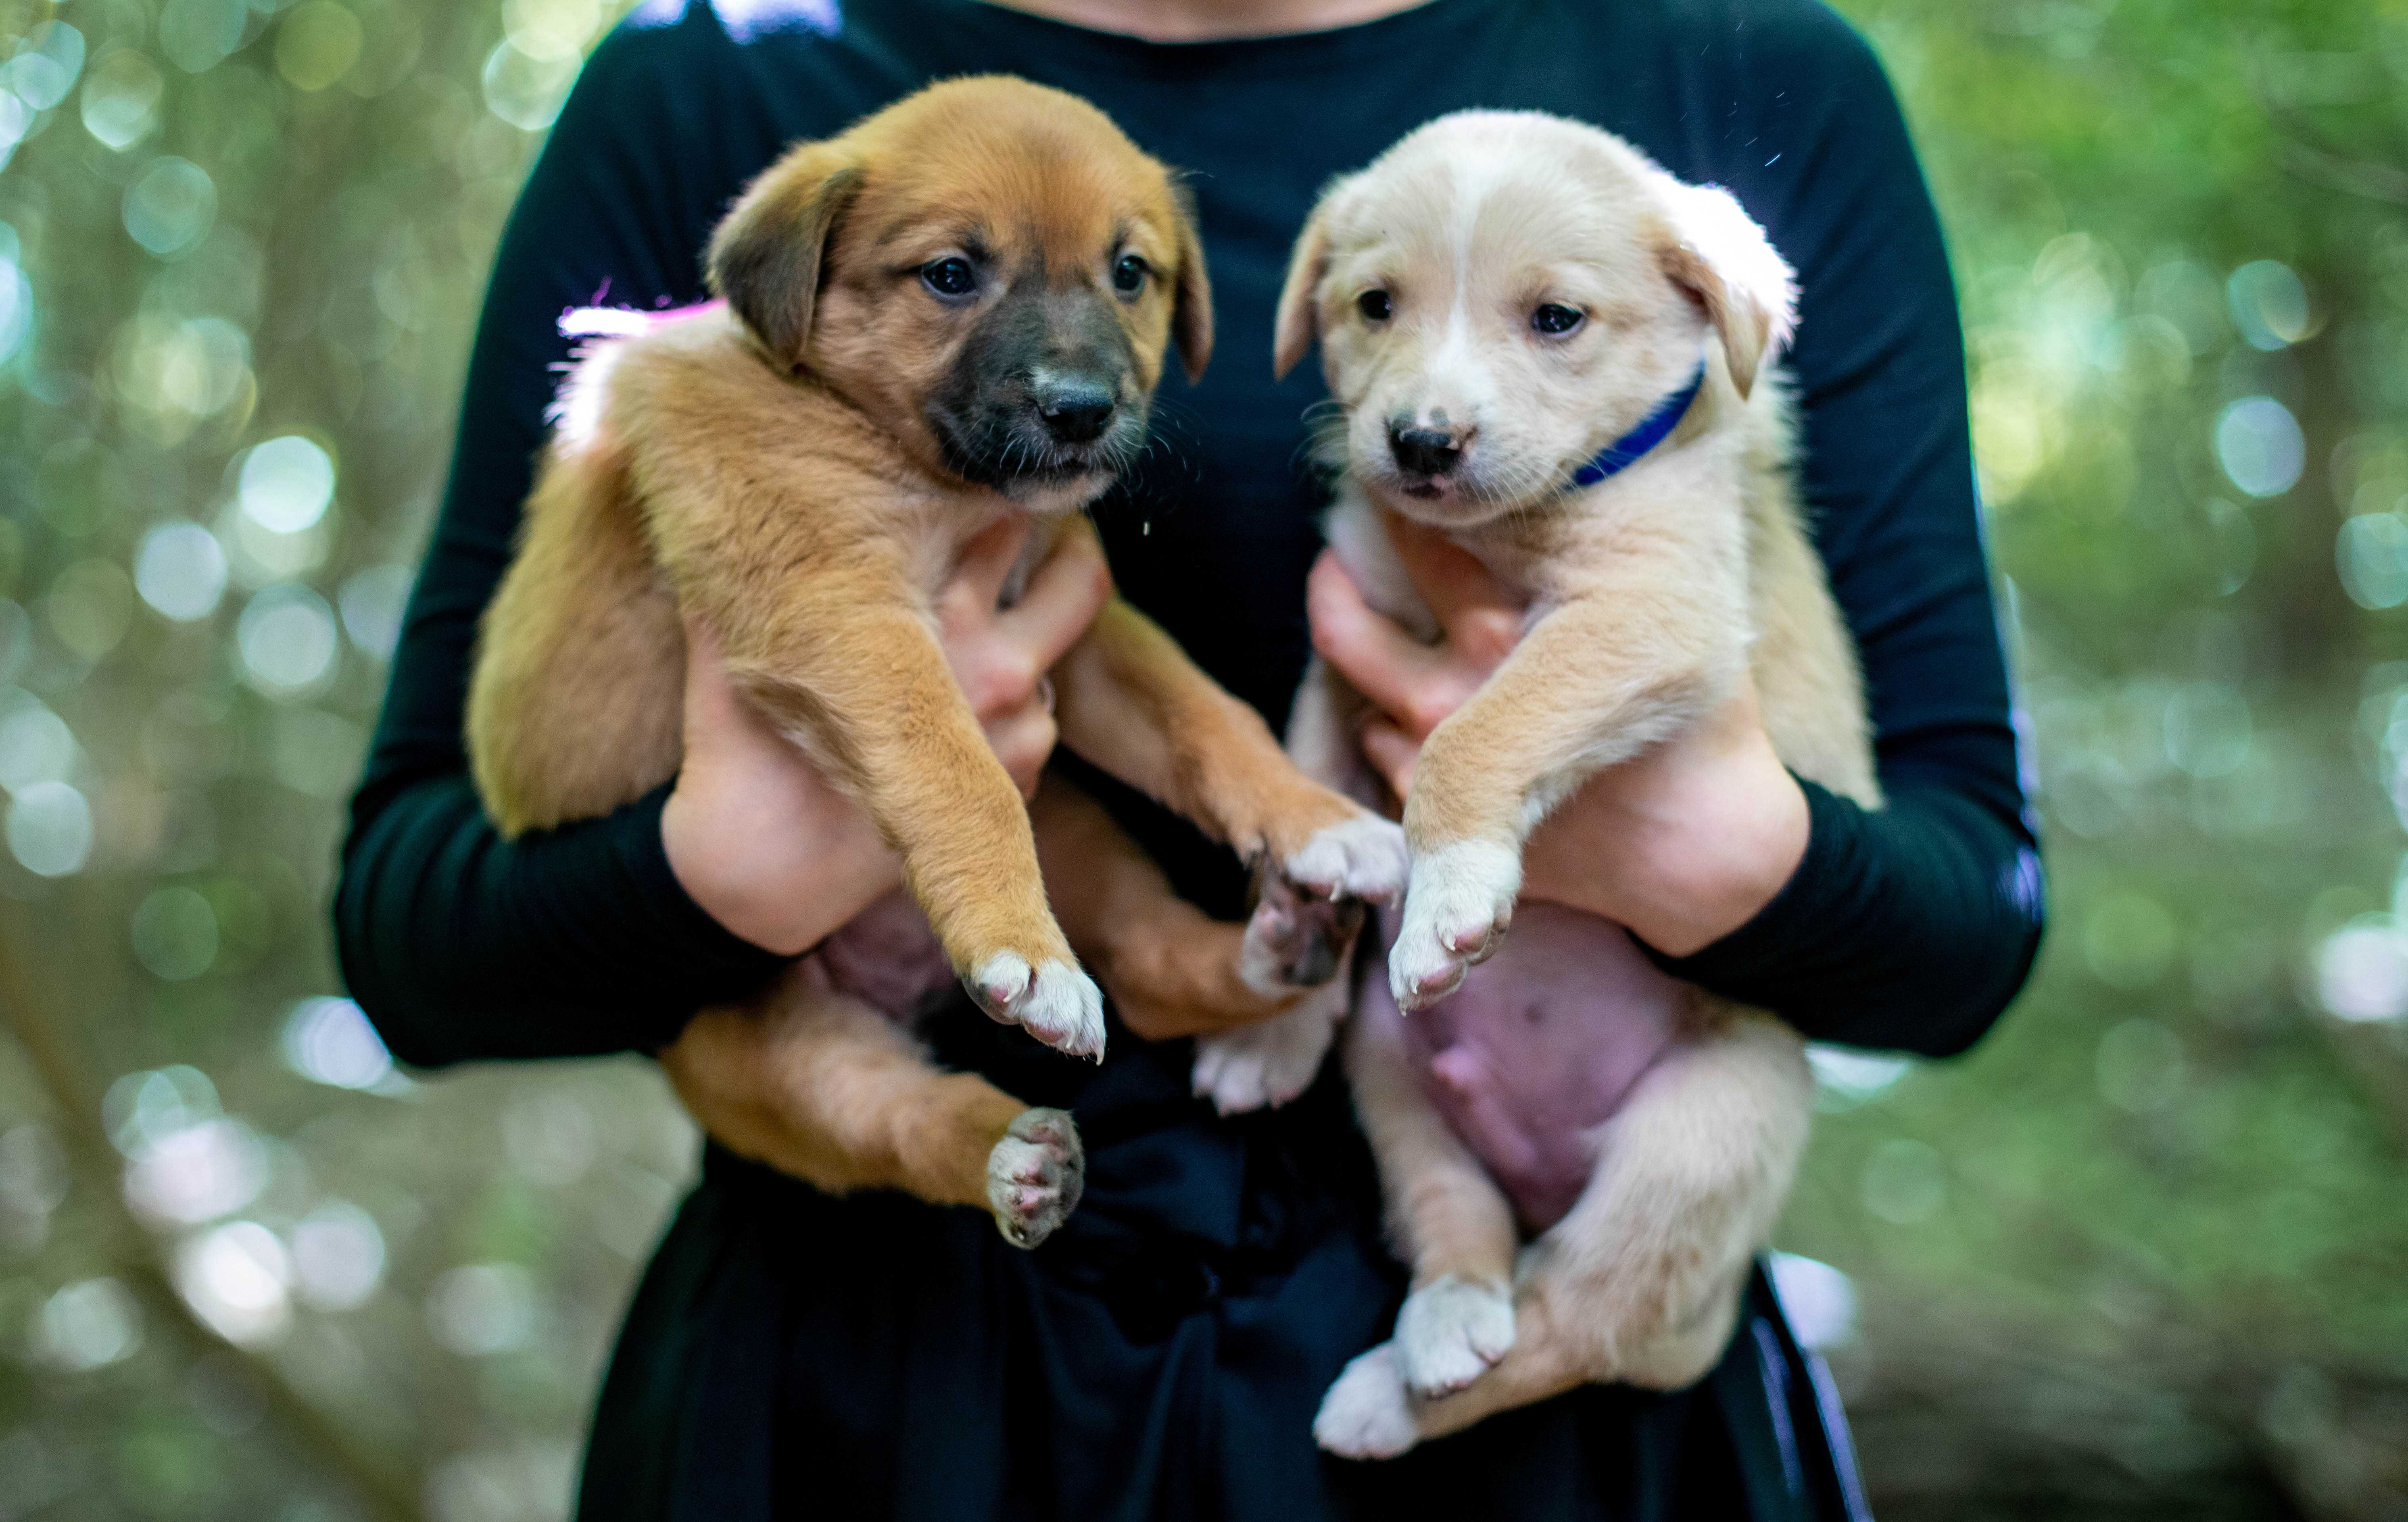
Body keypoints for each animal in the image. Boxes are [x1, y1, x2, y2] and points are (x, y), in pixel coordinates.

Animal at [467, 80, 1406, 1252]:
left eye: (1128, 272)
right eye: (951, 274)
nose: (1081, 409)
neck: (913, 467)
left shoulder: (1076, 627)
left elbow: (1203, 719)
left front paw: (1317, 817)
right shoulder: (840, 610)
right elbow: (958, 770)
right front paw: (1022, 947)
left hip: (1080, 839)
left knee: (1147, 967)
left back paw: (1271, 951)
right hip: (755, 1043)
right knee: (886, 1121)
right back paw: (1008, 1153)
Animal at [1194, 113, 1888, 1454]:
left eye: (1556, 319)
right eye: (1375, 305)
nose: (1419, 442)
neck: (1508, 530)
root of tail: (1541, 1166)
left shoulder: (1647, 610)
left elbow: (1476, 729)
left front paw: (1452, 886)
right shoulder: (1344, 647)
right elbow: (1317, 786)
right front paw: (1277, 1003)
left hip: (1704, 1135)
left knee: (1574, 1322)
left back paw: (1388, 1396)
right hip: (1394, 1077)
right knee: (1461, 1233)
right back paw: (1436, 1325)